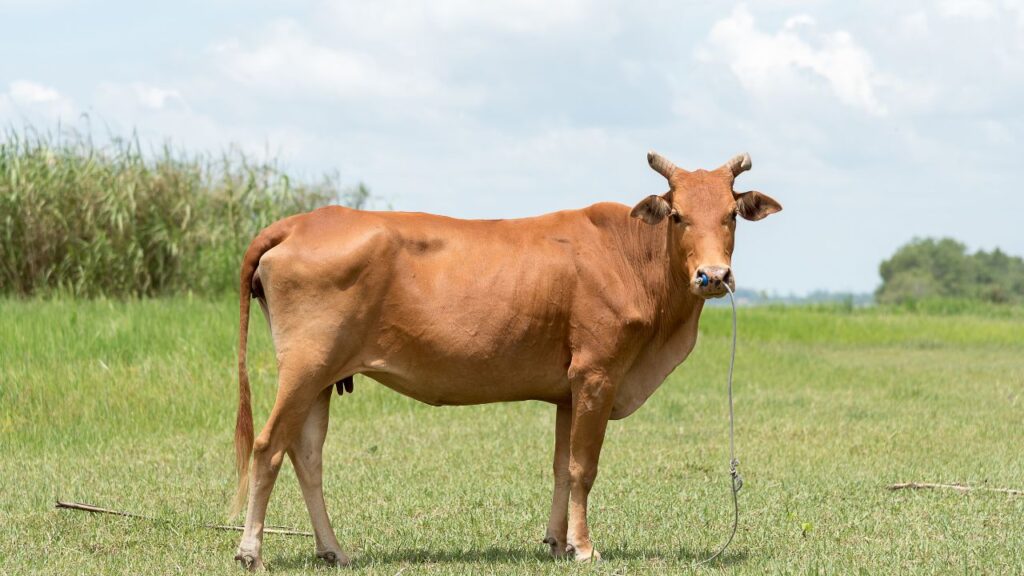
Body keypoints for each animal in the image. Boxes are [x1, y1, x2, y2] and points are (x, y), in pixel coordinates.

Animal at [230, 152, 781, 569]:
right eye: (677, 214)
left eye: (731, 214)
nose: (714, 276)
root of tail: (300, 221)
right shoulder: (598, 374)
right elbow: (584, 467)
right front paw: (584, 548)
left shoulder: (569, 390)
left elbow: (562, 466)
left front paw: (557, 542)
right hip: (304, 367)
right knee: (267, 446)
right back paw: (251, 551)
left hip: (324, 376)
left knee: (307, 456)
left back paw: (333, 550)